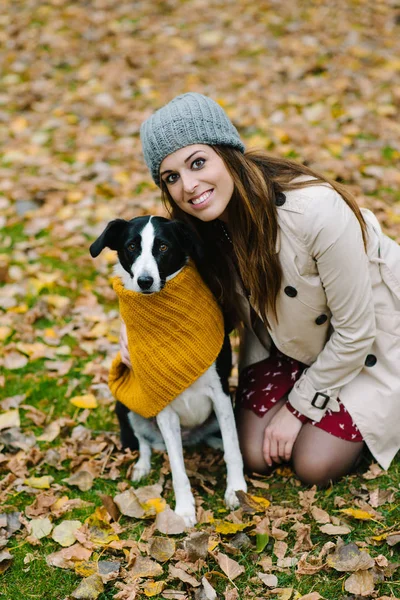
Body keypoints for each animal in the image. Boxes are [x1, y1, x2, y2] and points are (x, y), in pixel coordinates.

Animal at [90, 216, 247, 524]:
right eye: (131, 246)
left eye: (163, 246)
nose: (145, 281)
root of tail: (190, 438)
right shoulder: (163, 408)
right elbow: (177, 469)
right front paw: (184, 510)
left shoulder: (221, 393)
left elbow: (233, 448)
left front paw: (236, 491)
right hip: (124, 406)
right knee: (143, 442)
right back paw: (142, 466)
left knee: (217, 437)